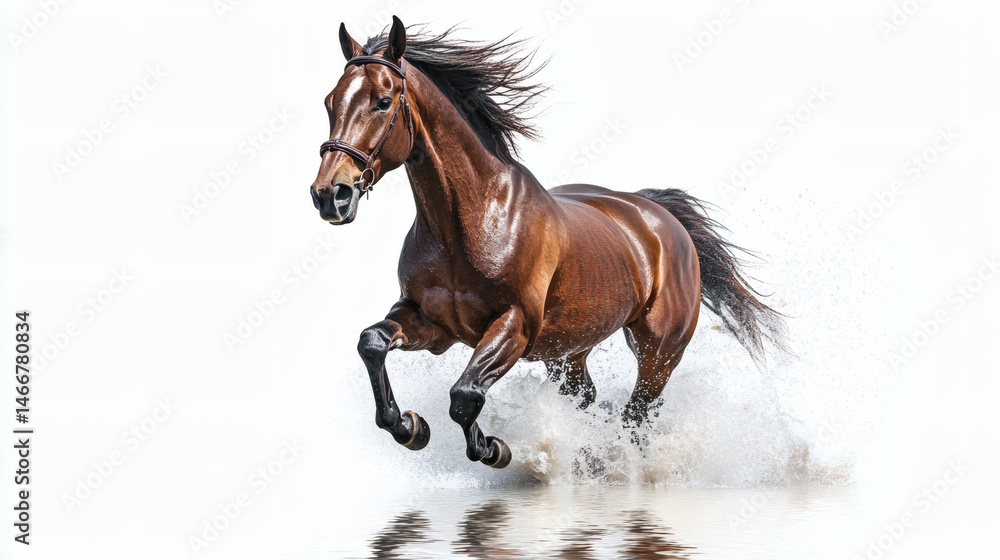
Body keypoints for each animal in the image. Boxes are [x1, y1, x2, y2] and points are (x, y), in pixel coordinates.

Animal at [309, 17, 785, 469]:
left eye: (383, 101)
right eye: (331, 102)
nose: (331, 194)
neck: (467, 225)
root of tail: (660, 217)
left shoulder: (514, 325)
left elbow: (465, 395)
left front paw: (493, 449)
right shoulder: (431, 322)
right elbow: (372, 342)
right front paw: (409, 427)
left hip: (657, 353)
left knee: (637, 417)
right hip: (567, 352)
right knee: (589, 397)